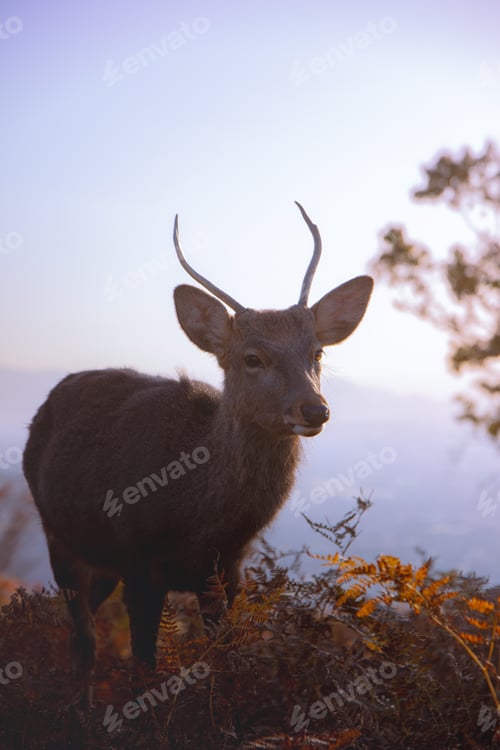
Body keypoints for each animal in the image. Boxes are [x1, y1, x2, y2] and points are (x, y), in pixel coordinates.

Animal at [23, 202, 373, 679]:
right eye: (252, 358)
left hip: (100, 560)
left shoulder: (229, 570)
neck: (202, 521)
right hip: (57, 533)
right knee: (84, 639)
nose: (315, 410)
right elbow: (143, 667)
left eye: (317, 353)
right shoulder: (139, 563)